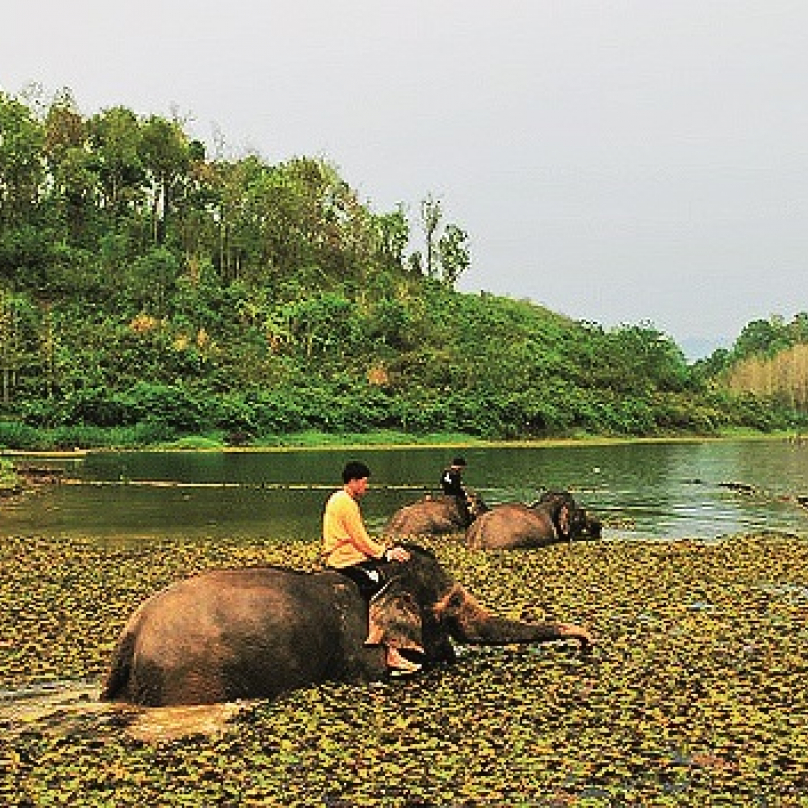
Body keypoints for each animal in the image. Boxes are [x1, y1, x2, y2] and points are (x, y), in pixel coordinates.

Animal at [101, 544, 592, 708]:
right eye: (449, 606)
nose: (587, 644)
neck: (379, 575)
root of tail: (131, 631)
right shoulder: (359, 647)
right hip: (188, 677)